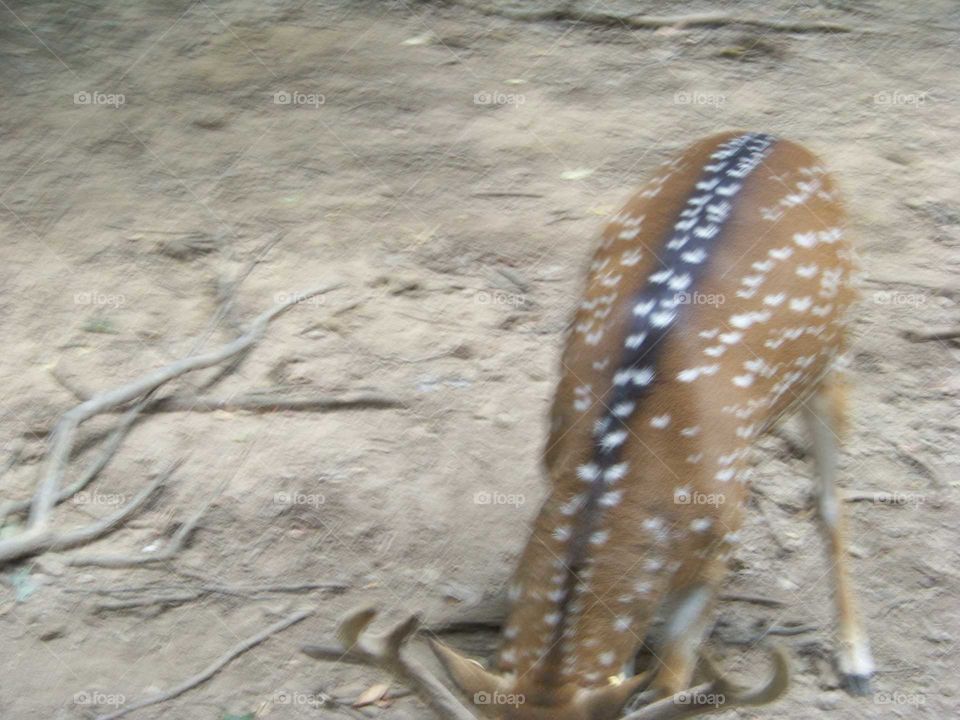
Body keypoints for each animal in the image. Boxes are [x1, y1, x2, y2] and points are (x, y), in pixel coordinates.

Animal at [303, 131, 874, 719]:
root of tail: (771, 135)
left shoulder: (722, 537)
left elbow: (673, 681)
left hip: (834, 356)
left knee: (830, 500)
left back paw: (856, 661)